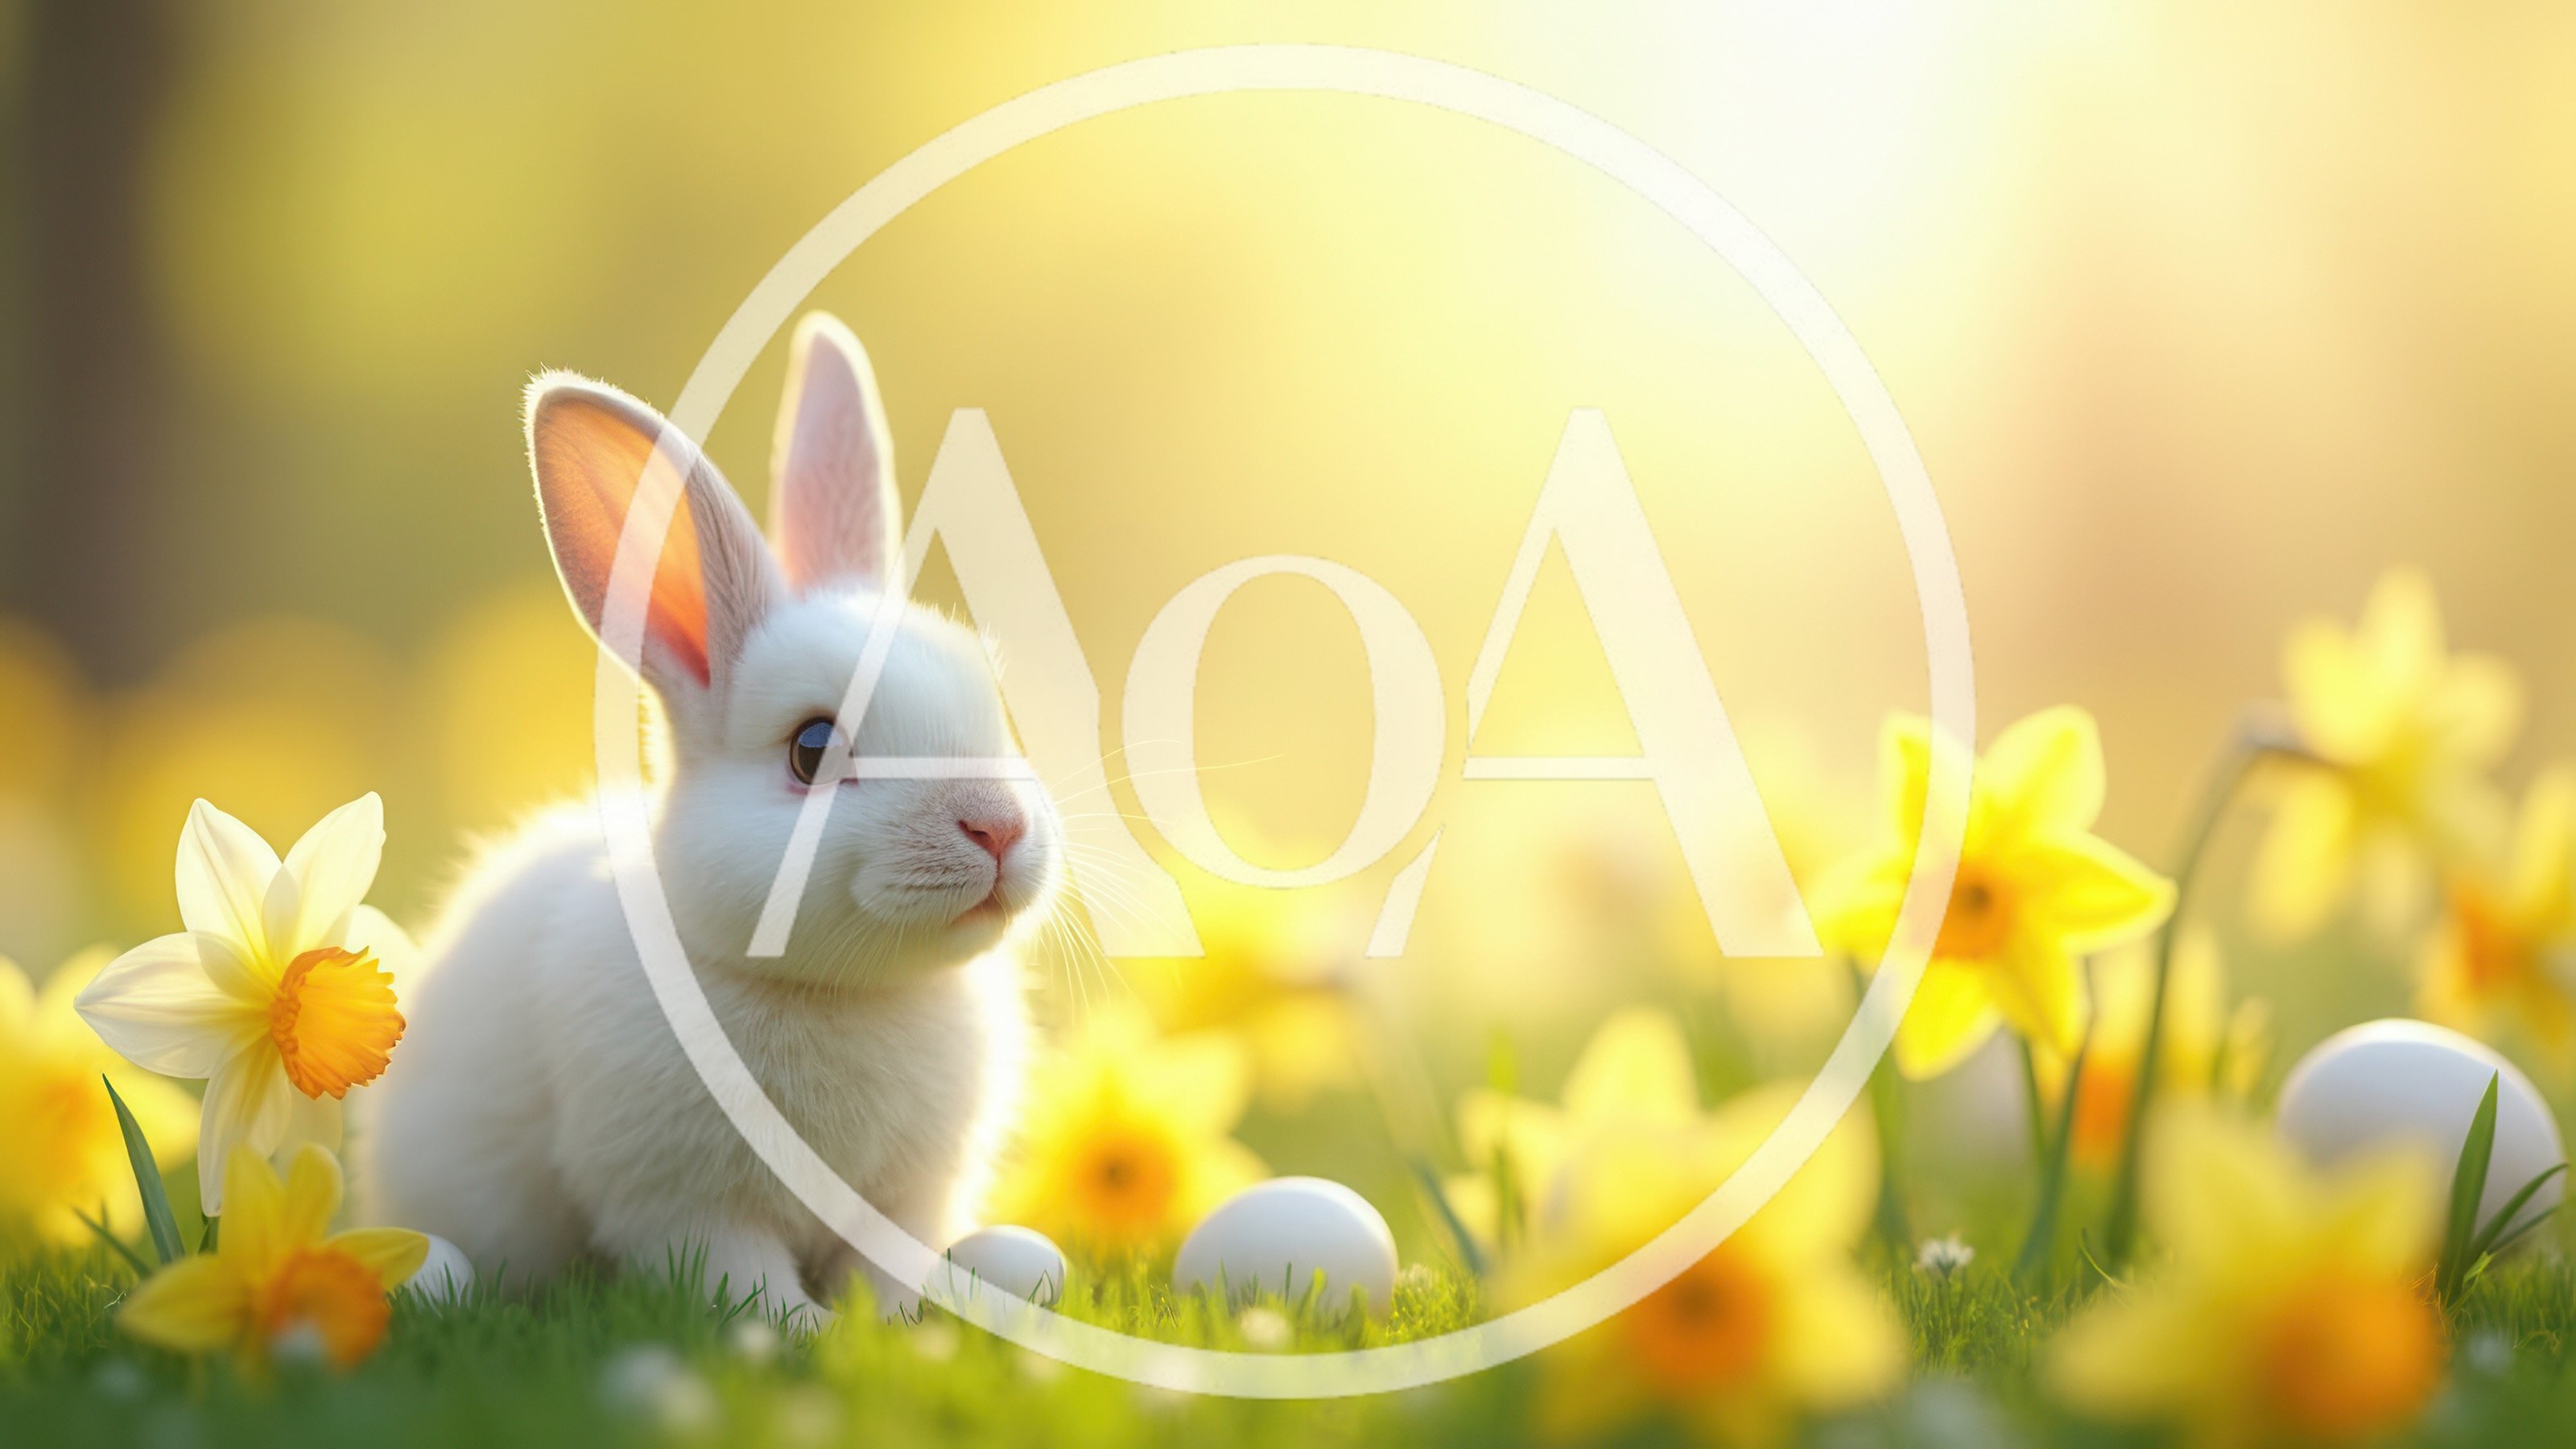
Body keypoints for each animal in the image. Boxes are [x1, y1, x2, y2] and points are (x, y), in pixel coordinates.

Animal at [355, 313, 1059, 1322]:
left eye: (995, 709)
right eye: (811, 749)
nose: (996, 828)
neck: (843, 995)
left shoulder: (903, 1199)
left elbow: (883, 1271)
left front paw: (893, 1323)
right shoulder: (681, 1201)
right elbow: (742, 1276)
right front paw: (802, 1332)